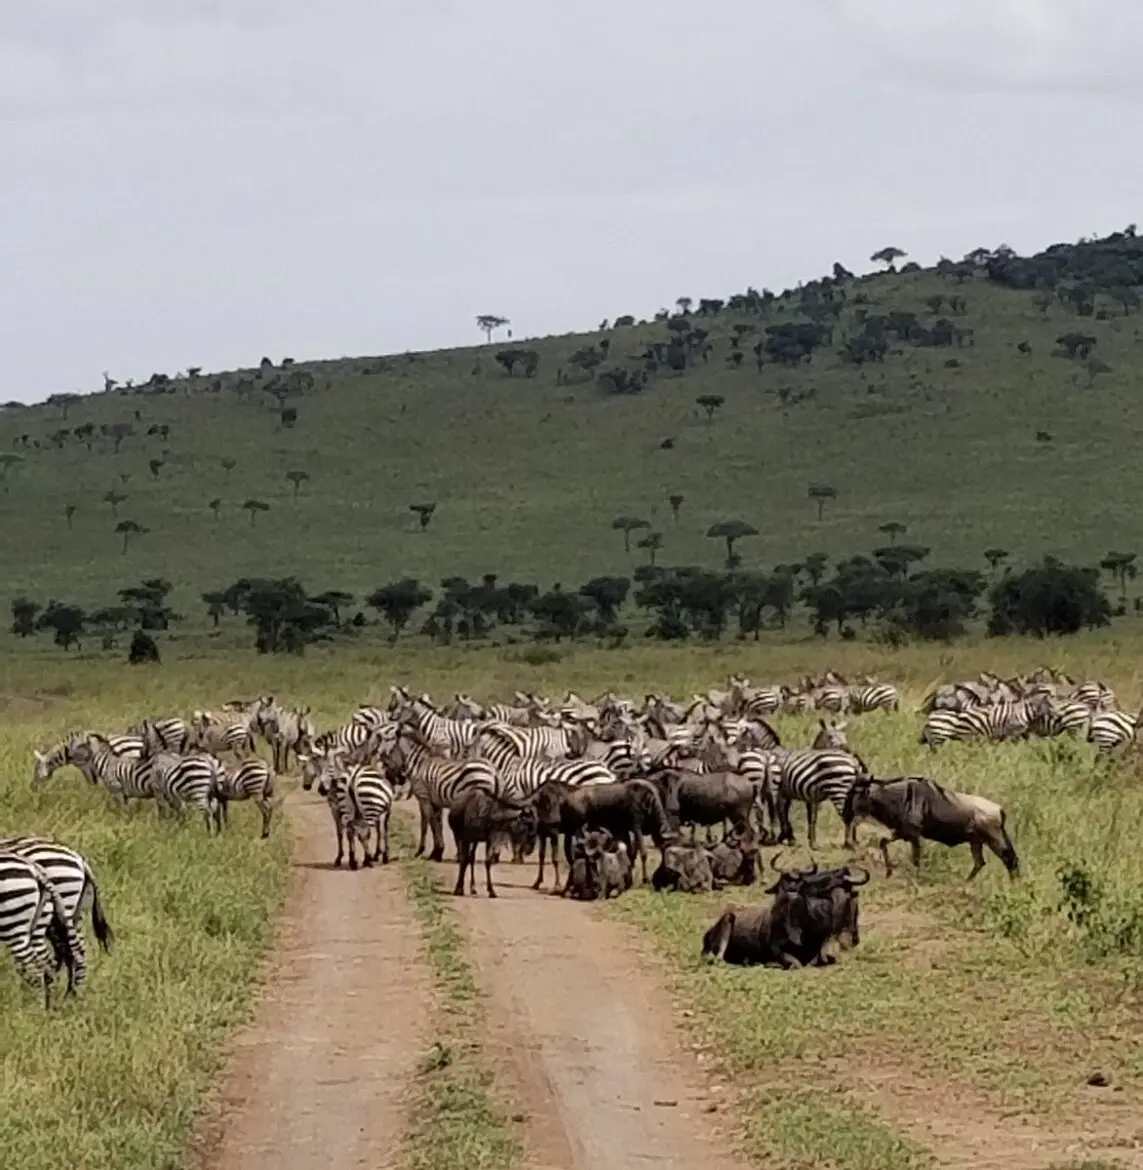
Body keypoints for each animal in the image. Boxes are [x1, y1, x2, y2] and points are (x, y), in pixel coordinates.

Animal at [0, 850, 83, 1006]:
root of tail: (34, 869)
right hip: (39, 923)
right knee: (48, 964)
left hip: (15, 927)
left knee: (33, 967)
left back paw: (34, 1007)